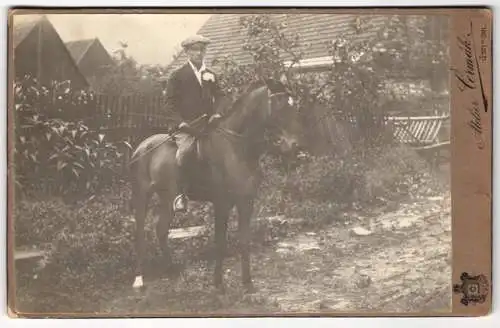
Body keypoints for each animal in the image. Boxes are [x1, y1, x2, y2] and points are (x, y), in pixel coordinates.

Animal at [127, 79, 302, 292]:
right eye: (279, 104)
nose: (293, 145)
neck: (236, 147)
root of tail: (141, 147)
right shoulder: (222, 203)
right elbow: (220, 243)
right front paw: (218, 282)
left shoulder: (246, 201)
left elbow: (244, 240)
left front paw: (247, 282)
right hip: (141, 195)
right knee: (140, 234)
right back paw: (139, 278)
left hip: (166, 197)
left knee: (160, 229)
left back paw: (171, 269)